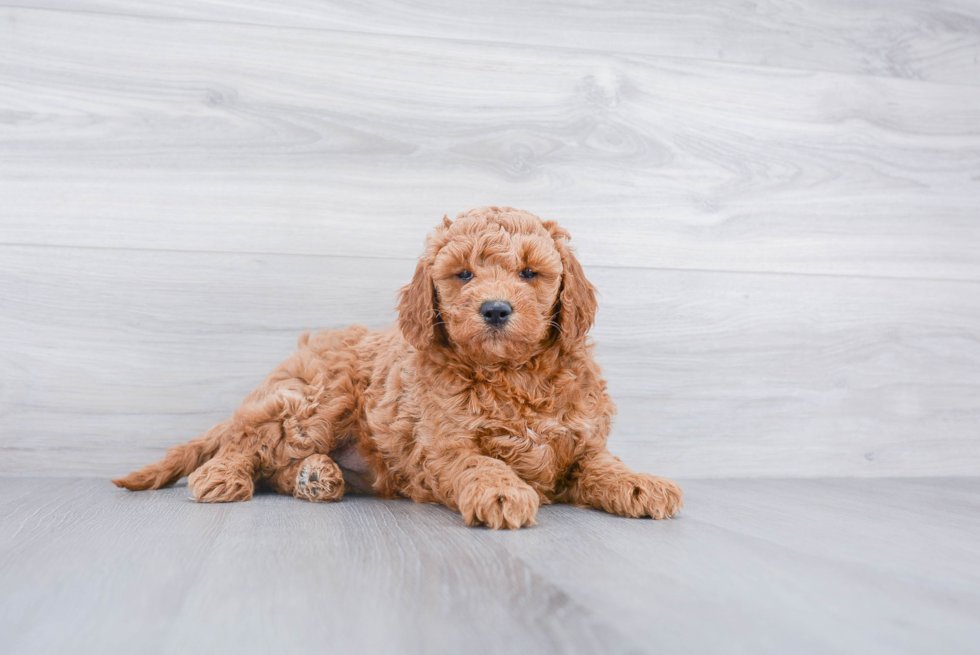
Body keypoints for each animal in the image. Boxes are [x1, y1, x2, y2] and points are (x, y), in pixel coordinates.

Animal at [115, 208, 680, 532]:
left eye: (528, 273)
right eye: (464, 275)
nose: (496, 309)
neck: (511, 373)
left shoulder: (579, 442)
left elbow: (604, 465)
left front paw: (642, 484)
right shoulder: (444, 445)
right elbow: (479, 463)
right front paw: (500, 492)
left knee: (276, 464)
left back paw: (318, 477)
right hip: (318, 400)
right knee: (249, 442)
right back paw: (225, 475)